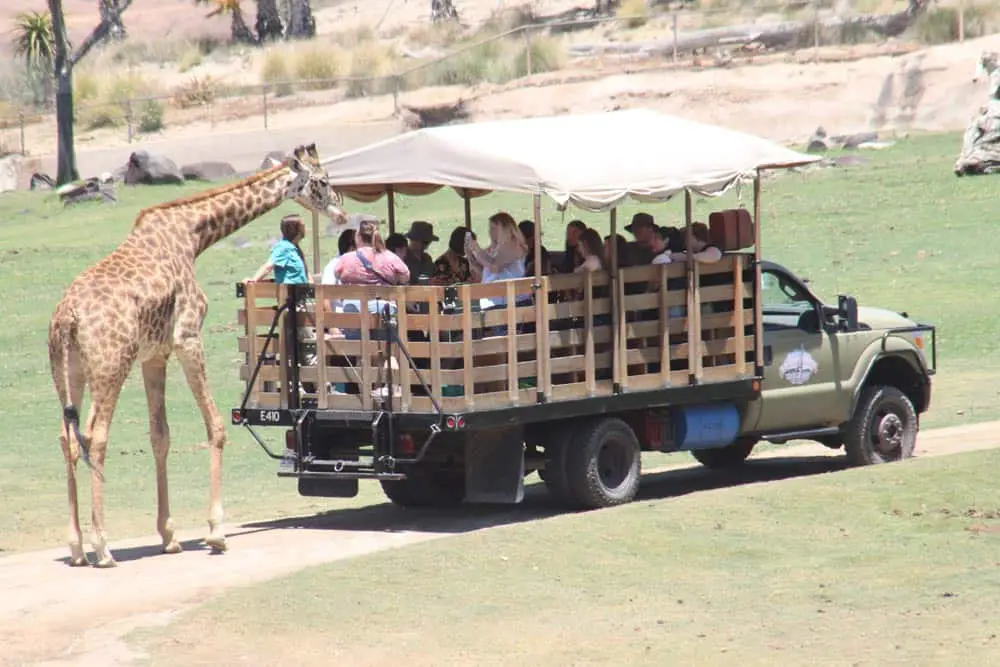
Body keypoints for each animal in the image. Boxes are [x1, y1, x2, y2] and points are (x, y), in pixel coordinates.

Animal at [47, 142, 348, 568]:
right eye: (321, 180)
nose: (341, 211)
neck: (192, 236)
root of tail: (67, 317)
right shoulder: (188, 337)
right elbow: (216, 427)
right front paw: (216, 533)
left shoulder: (154, 355)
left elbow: (160, 435)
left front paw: (170, 536)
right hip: (110, 366)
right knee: (95, 436)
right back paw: (102, 547)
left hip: (67, 371)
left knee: (67, 438)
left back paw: (75, 548)